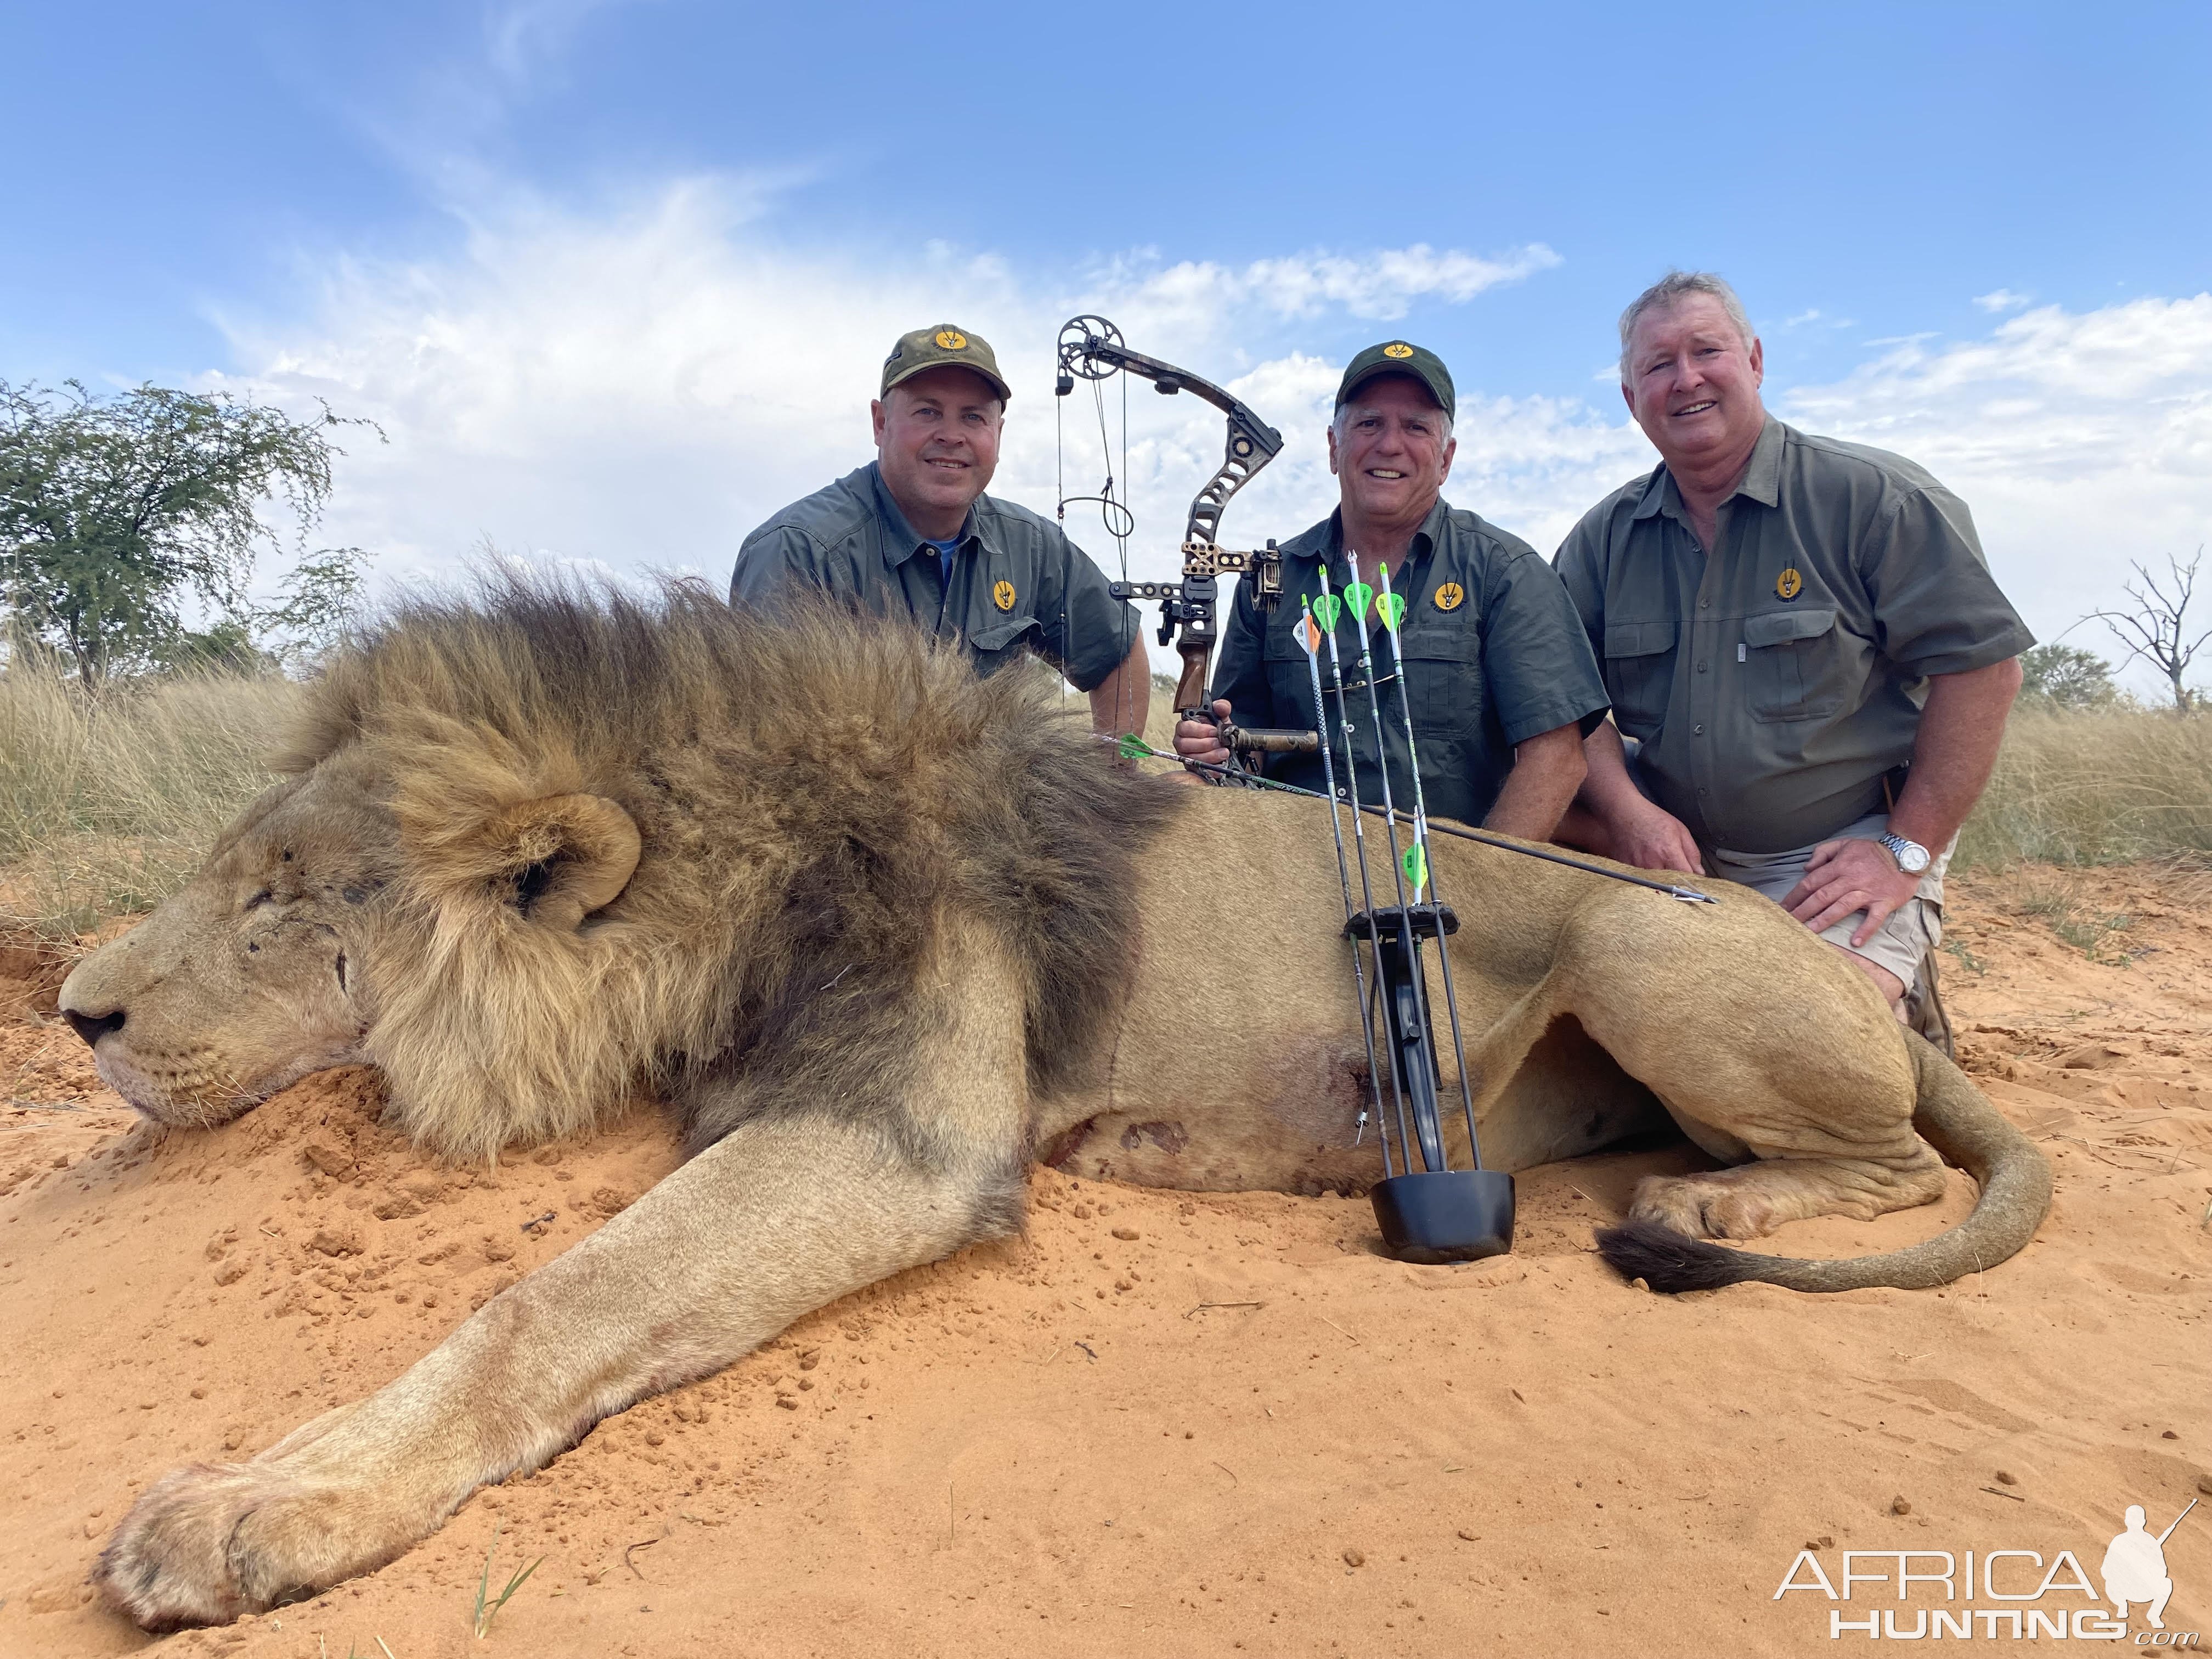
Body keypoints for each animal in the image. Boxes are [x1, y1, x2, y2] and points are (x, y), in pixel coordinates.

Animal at [56, 579, 2052, 1628]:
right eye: (234, 870)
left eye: (282, 897)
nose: (74, 1013)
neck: (734, 867)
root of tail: (1876, 991)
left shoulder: (905, 1136)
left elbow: (548, 1299)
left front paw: (257, 1502)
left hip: (1648, 940)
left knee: (1877, 1156)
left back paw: (1719, 1208)